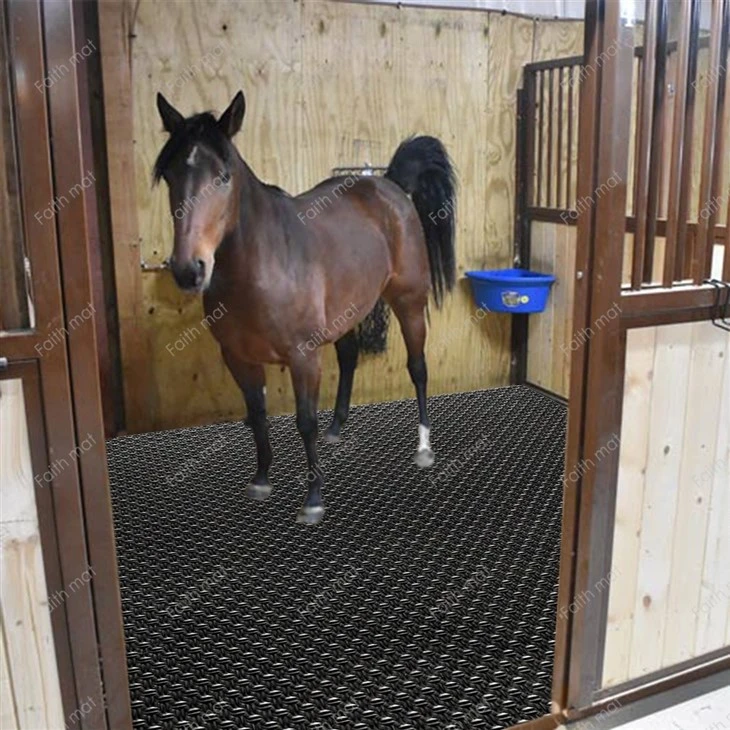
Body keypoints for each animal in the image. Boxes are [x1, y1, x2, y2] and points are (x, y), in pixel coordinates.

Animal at [153, 90, 456, 525]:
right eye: (170, 176)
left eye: (223, 177)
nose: (188, 269)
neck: (261, 266)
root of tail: (388, 185)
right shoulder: (237, 357)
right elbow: (257, 415)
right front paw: (262, 479)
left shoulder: (303, 356)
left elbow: (305, 421)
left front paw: (313, 499)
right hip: (348, 312)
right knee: (349, 356)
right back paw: (338, 429)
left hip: (409, 303)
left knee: (418, 369)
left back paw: (424, 448)